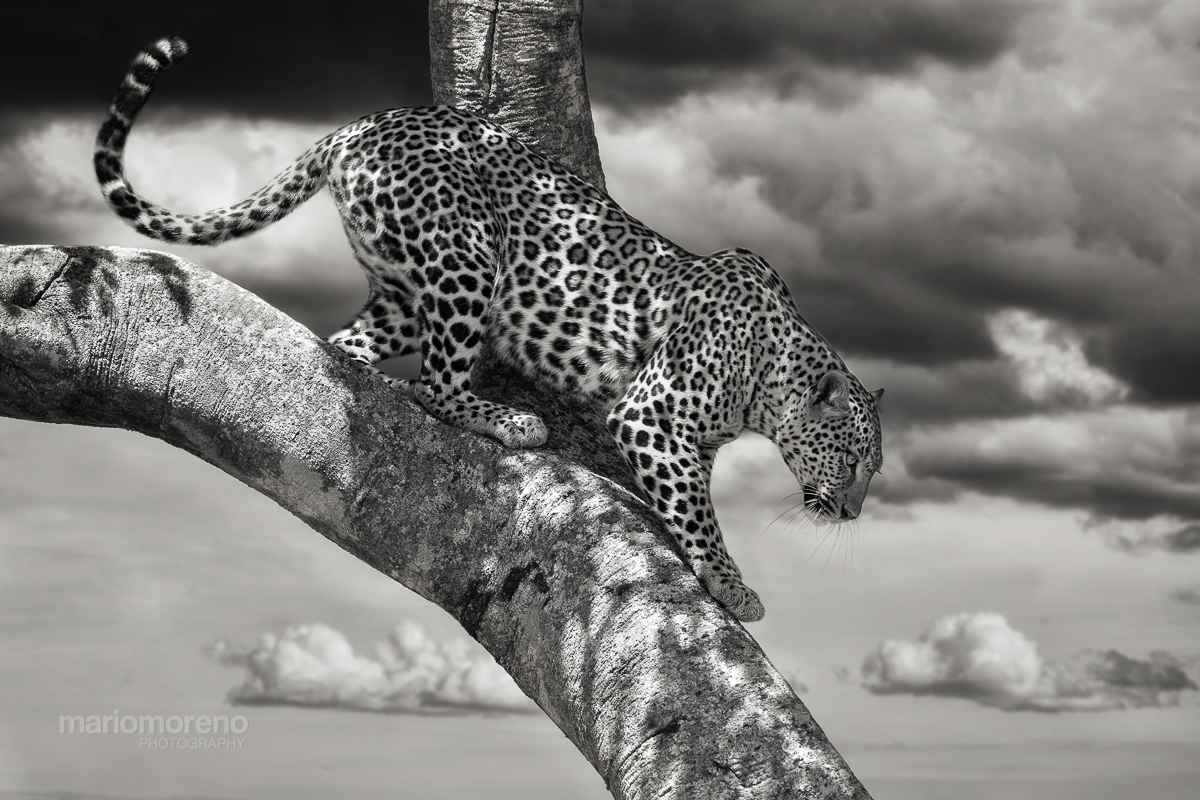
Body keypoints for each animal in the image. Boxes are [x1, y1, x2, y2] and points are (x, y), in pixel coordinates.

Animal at [93, 37, 884, 622]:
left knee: (354, 347)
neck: (769, 382)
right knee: (439, 385)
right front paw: (731, 584)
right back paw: (508, 420)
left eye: (870, 472)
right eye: (853, 460)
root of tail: (362, 123)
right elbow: (701, 513)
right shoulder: (651, 414)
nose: (850, 513)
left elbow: (691, 497)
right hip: (467, 256)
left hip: (404, 290)